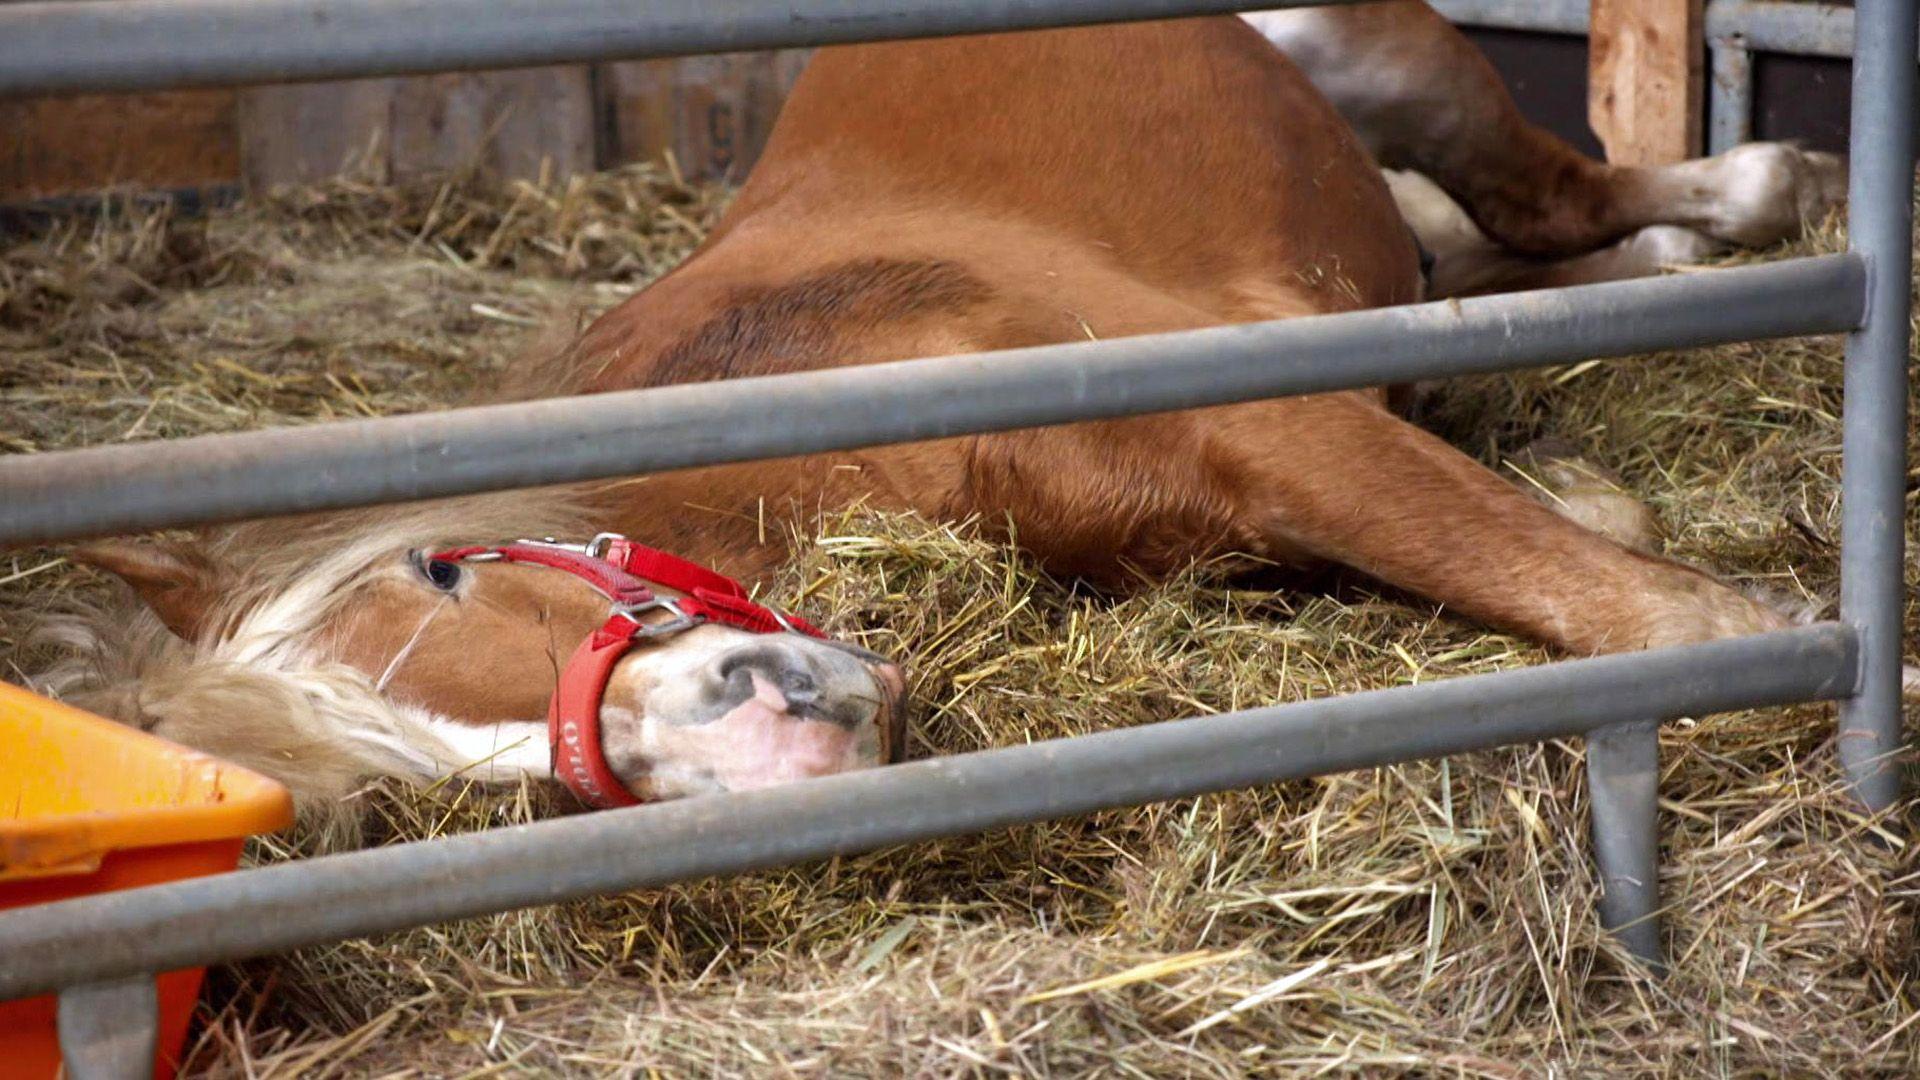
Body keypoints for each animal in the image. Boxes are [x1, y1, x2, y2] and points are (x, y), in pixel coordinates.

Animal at [54, 4, 1853, 812]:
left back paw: (1761, 189)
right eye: (475, 794)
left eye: (445, 571)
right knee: (1487, 245)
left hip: (1390, 57)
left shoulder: (1287, 423)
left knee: (1544, 191)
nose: (774, 723)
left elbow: (1613, 598)